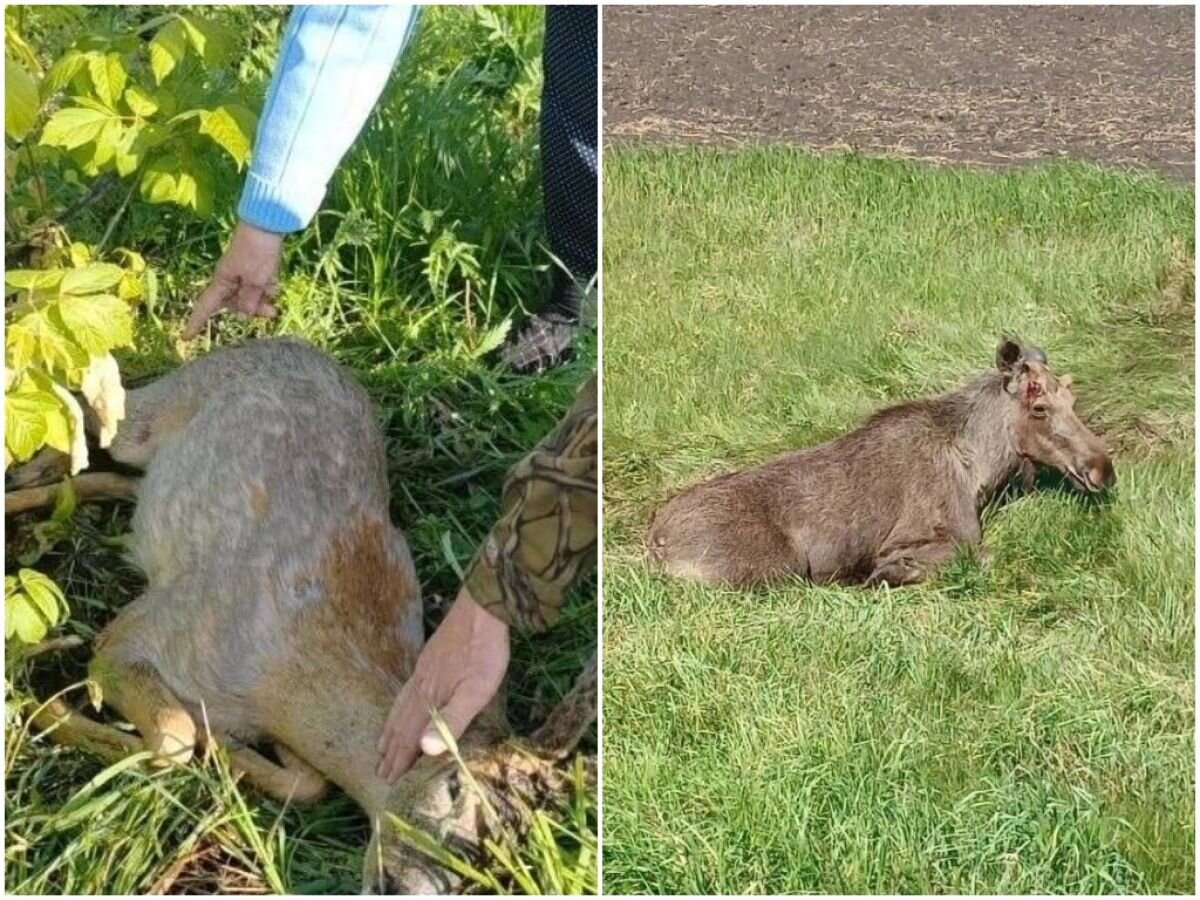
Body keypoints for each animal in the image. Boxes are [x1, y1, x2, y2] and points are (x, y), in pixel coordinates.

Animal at [16, 338, 597, 897]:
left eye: (498, 862)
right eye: (452, 785)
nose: (399, 886)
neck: (276, 685)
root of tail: (287, 339)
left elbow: (302, 783)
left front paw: (228, 753)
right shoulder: (146, 627)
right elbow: (174, 737)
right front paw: (40, 709)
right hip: (154, 411)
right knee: (92, 408)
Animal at [648, 340, 1113, 588]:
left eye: (1073, 398)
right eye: (1038, 406)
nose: (1102, 469)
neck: (981, 468)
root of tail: (656, 542)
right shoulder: (921, 536)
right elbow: (980, 554)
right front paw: (888, 574)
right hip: (779, 567)